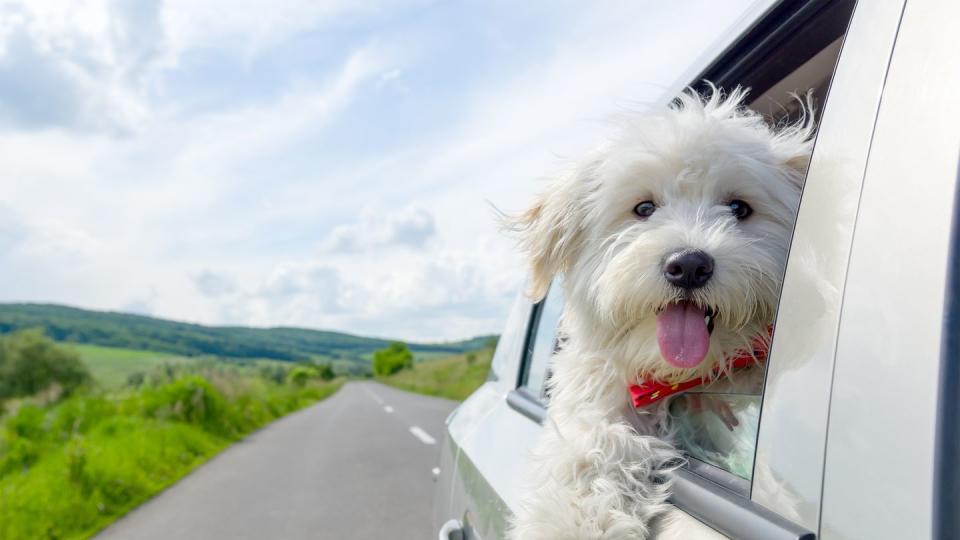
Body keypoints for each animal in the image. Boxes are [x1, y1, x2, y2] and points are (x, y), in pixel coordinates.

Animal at [506, 88, 812, 540]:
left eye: (739, 208)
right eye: (644, 208)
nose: (688, 265)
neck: (683, 376)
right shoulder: (593, 396)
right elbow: (589, 445)